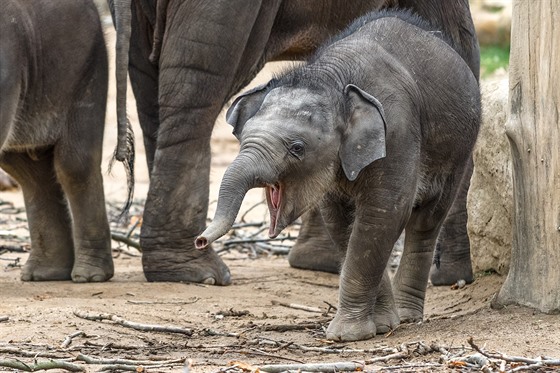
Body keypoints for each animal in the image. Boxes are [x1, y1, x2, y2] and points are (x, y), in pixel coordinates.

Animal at [197, 10, 482, 340]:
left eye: (297, 148)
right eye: (243, 138)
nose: (200, 240)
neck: (330, 78)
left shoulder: (398, 132)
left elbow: (383, 214)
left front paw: (347, 335)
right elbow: (340, 221)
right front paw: (381, 325)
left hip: (459, 150)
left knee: (426, 220)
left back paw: (410, 317)